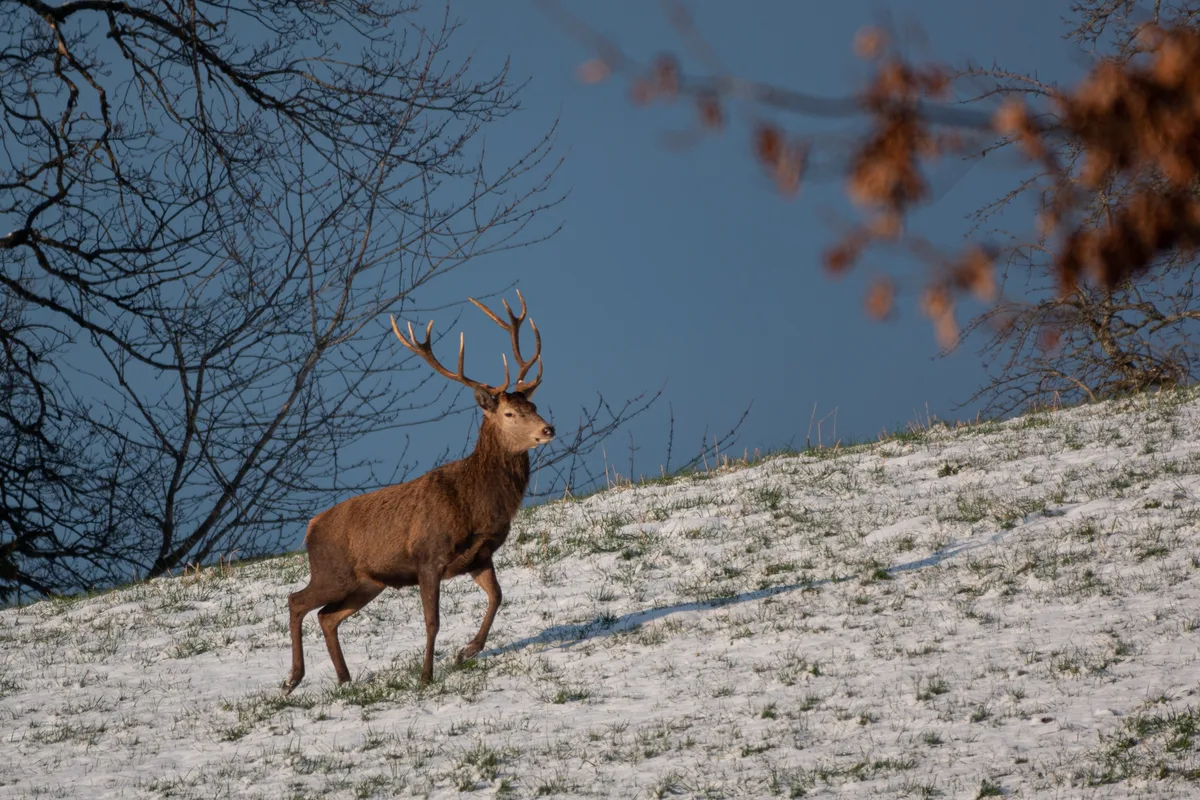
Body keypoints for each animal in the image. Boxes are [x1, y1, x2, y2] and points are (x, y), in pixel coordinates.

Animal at [281, 290, 554, 695]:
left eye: (532, 405)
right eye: (508, 414)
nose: (548, 429)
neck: (475, 505)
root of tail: (310, 528)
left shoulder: (479, 556)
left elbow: (497, 597)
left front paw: (467, 650)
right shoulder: (429, 556)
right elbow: (432, 621)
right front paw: (426, 675)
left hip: (368, 582)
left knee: (328, 616)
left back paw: (345, 679)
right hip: (333, 571)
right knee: (297, 601)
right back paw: (292, 678)